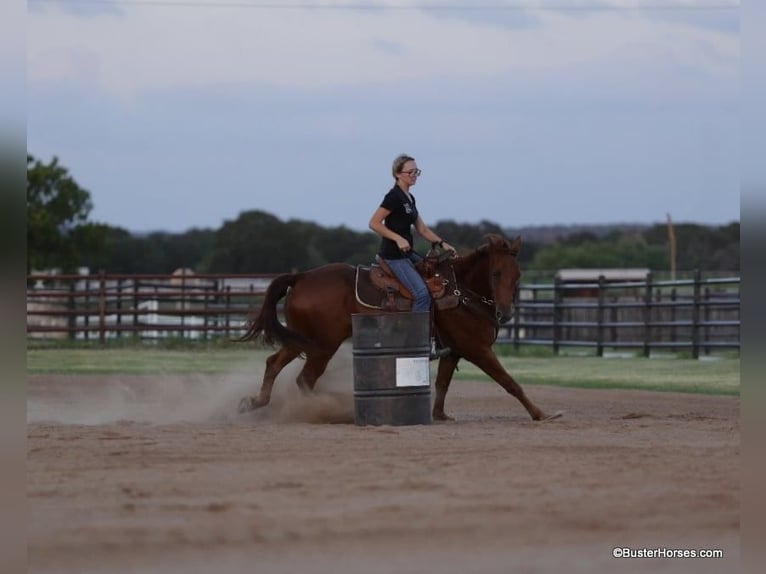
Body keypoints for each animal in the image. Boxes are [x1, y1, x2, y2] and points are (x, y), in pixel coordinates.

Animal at [237, 234, 558, 422]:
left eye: (518, 274)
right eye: (495, 273)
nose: (505, 313)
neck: (462, 291)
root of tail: (301, 277)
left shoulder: (454, 350)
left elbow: (442, 384)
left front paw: (439, 415)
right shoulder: (476, 349)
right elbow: (509, 381)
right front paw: (541, 413)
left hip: (302, 339)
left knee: (274, 363)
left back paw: (255, 402)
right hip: (322, 346)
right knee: (305, 379)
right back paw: (324, 411)